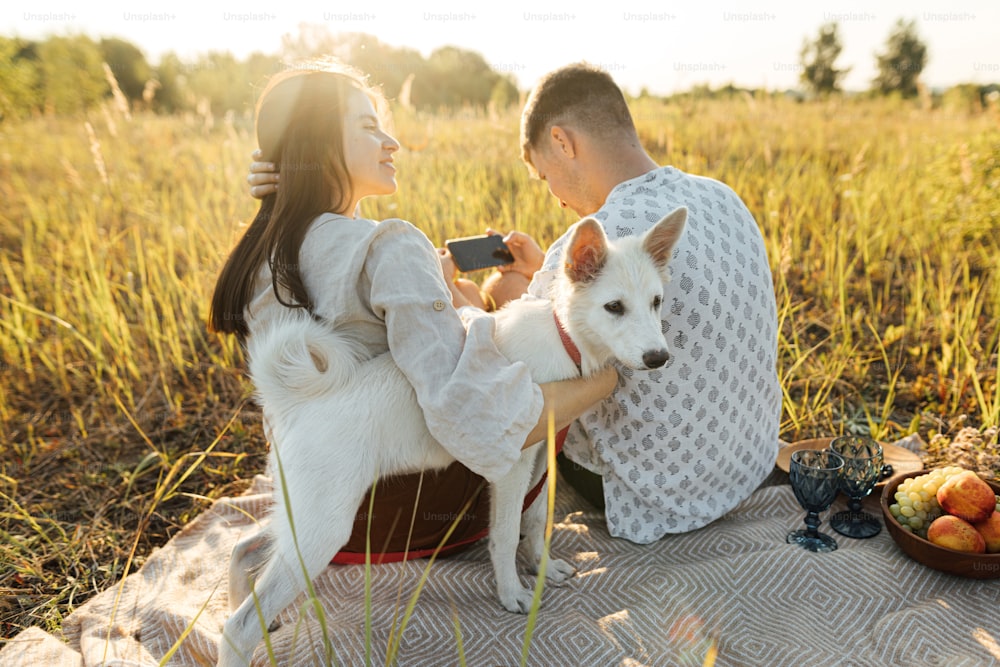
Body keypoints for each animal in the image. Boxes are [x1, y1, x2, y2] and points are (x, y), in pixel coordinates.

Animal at [219, 206, 688, 664]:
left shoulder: (541, 456)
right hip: (325, 528)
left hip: (305, 513)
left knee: (243, 547)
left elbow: (536, 518)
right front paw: (513, 592)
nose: (659, 358)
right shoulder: (511, 464)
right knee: (236, 629)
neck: (563, 339)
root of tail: (294, 404)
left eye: (656, 302)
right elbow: (506, 534)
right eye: (614, 307)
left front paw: (542, 568)